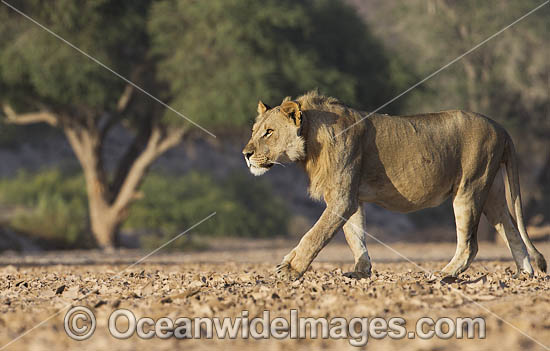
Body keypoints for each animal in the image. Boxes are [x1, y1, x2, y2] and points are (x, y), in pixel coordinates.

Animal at [244, 91, 548, 280]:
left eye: (269, 132)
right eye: (254, 131)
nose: (245, 153)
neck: (311, 140)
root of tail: (501, 127)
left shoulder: (342, 197)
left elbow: (315, 234)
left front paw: (290, 269)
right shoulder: (352, 197)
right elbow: (355, 236)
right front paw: (361, 271)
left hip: (470, 188)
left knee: (470, 245)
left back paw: (444, 274)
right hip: (492, 191)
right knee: (511, 230)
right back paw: (524, 274)